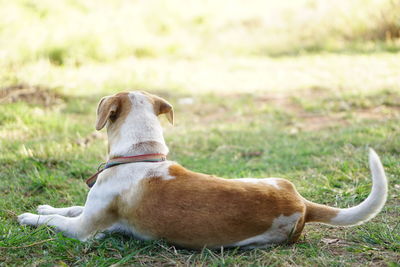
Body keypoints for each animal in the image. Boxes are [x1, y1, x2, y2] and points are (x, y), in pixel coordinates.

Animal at [18, 91, 388, 250]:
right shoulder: (87, 210)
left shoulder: (84, 230)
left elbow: (56, 221)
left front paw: (30, 217)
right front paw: (45, 206)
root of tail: (301, 204)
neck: (141, 155)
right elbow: (68, 206)